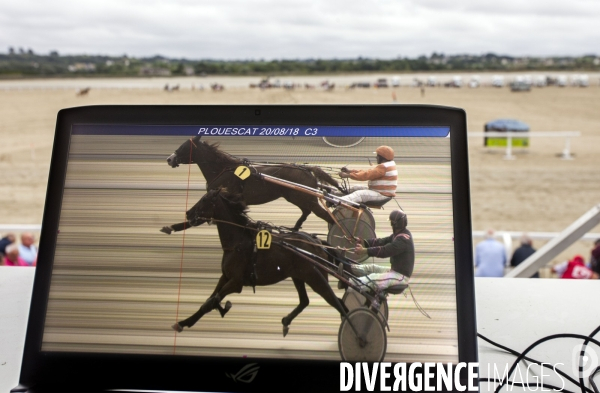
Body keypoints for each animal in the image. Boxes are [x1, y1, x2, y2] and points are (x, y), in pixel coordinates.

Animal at [164, 135, 342, 230]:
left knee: (325, 216)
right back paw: (295, 228)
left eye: (185, 147)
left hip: (304, 198)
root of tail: (307, 169)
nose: (169, 159)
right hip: (299, 198)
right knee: (306, 212)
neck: (222, 169)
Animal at [170, 188, 346, 336]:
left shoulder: (236, 282)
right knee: (305, 301)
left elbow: (211, 302)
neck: (237, 243)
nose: (188, 213)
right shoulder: (225, 276)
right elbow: (210, 299)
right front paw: (184, 322)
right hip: (299, 277)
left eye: (205, 199)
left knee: (337, 304)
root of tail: (317, 243)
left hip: (316, 278)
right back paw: (286, 321)